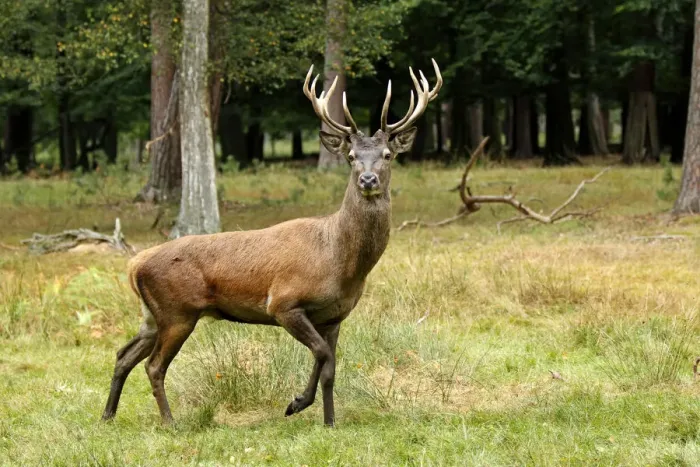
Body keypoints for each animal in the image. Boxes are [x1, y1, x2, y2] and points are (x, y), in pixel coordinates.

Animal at [101, 60, 442, 427]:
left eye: (388, 155)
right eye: (351, 156)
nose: (368, 179)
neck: (341, 263)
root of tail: (134, 265)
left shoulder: (334, 316)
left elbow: (329, 367)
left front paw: (327, 420)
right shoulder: (283, 302)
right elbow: (322, 354)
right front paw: (298, 404)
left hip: (153, 315)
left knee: (123, 354)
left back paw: (107, 416)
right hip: (178, 311)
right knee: (153, 366)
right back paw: (169, 421)